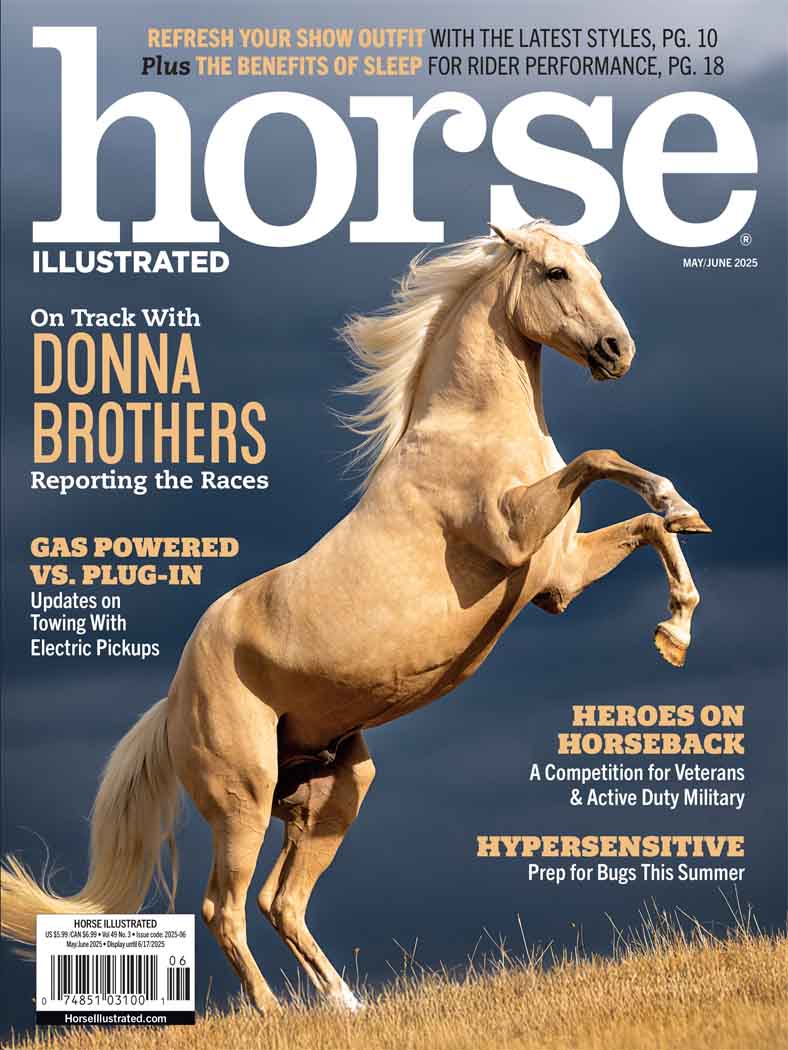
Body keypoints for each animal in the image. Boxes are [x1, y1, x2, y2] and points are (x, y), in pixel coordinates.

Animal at [2, 220, 710, 1012]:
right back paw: (274, 1014)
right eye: (555, 273)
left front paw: (676, 623)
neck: (472, 431)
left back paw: (345, 1006)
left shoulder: (558, 580)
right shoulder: (511, 532)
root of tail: (173, 700)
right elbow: (599, 457)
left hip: (333, 791)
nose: (618, 351)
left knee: (282, 902)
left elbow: (650, 527)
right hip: (243, 801)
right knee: (225, 907)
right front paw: (675, 522)